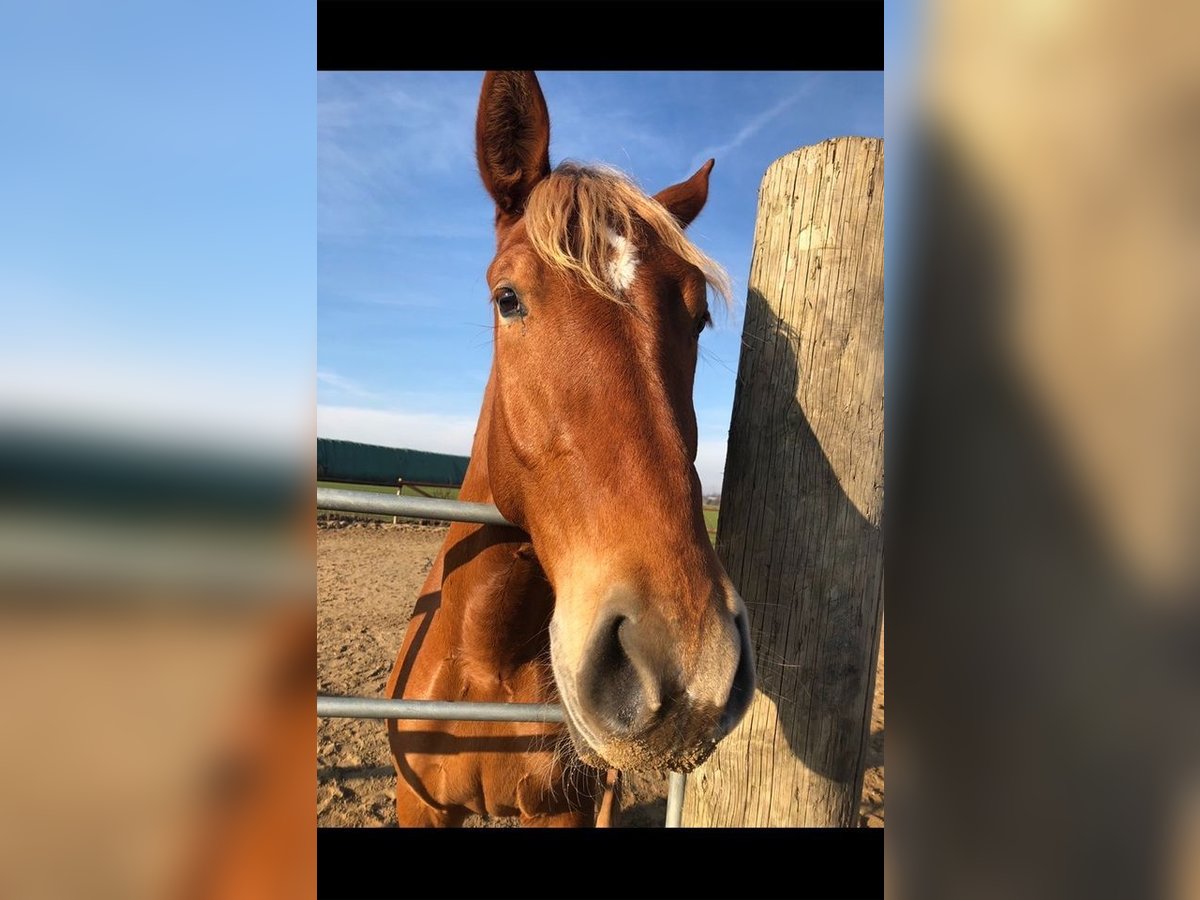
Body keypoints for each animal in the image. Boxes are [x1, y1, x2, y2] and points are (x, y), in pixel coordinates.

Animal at [384, 72, 753, 830]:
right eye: (508, 298)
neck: (484, 656)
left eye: (699, 316)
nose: (685, 667)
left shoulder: (563, 810)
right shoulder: (421, 806)